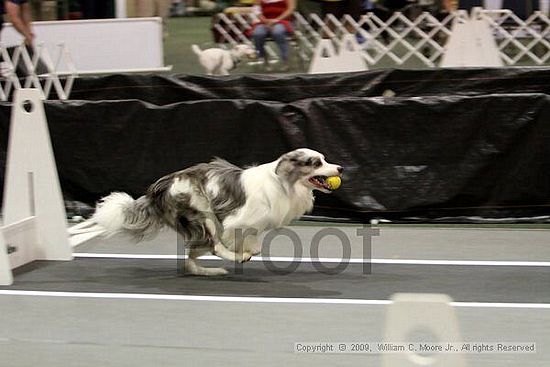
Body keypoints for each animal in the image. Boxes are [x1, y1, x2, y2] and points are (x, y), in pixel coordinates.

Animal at [94, 150, 344, 276]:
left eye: (325, 159)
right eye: (316, 163)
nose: (340, 168)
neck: (284, 182)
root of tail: (159, 188)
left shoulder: (254, 226)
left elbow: (253, 242)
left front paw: (247, 250)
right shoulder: (237, 220)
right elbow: (235, 240)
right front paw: (242, 253)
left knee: (190, 260)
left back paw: (210, 271)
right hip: (204, 214)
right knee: (213, 245)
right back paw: (234, 259)